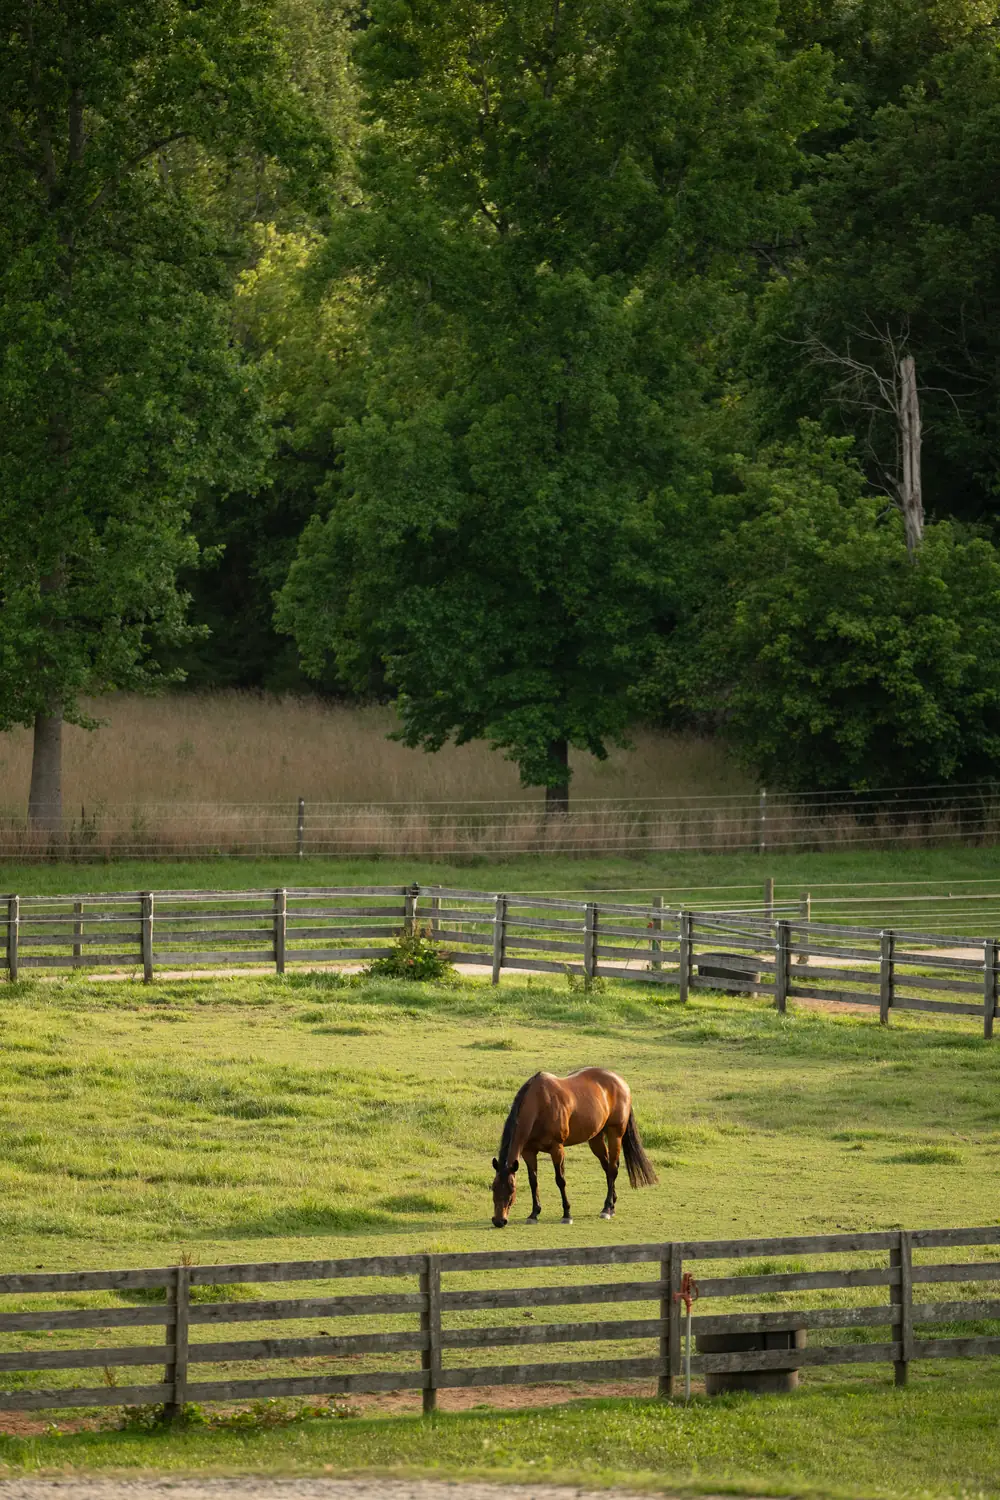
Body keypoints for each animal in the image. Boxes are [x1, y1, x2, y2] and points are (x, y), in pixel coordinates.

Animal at [490, 1068, 657, 1228]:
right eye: (493, 1187)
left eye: (512, 1189)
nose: (499, 1221)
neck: (539, 1104)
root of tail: (621, 1082)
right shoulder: (528, 1152)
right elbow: (533, 1181)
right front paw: (534, 1214)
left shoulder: (557, 1149)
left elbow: (560, 1180)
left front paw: (567, 1214)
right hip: (596, 1139)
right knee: (607, 1167)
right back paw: (612, 1205)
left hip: (614, 1134)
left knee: (613, 1168)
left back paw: (607, 1208)